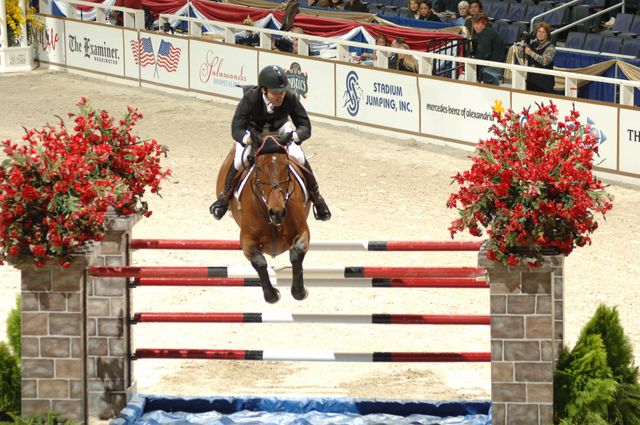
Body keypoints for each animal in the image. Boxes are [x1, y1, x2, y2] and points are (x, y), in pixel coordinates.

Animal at [216, 134, 312, 304]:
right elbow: (259, 262)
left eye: (286, 166)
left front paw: (299, 291)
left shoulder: (303, 231)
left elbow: (297, 253)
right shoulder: (246, 239)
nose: (277, 212)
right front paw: (271, 295)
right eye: (259, 168)